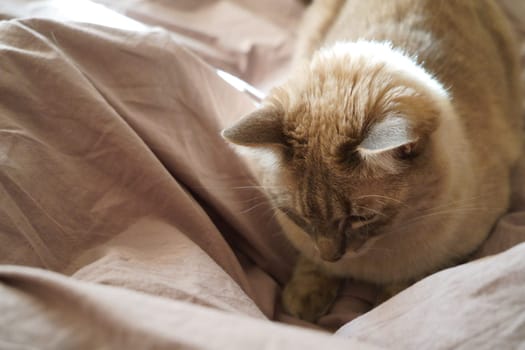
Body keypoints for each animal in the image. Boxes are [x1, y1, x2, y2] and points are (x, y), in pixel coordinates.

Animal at [220, 0, 520, 322]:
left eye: (360, 219)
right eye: (300, 217)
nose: (332, 256)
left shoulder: (464, 242)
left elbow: (409, 283)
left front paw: (385, 303)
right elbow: (310, 264)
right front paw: (304, 299)